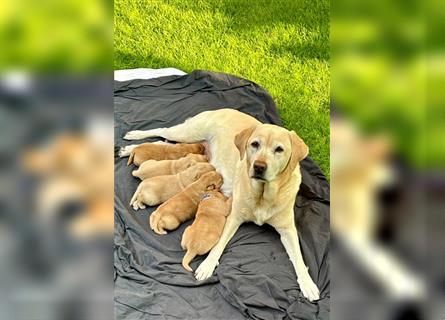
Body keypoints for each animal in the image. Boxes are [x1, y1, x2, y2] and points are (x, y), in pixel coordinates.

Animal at [121, 109, 320, 302]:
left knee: (165, 143)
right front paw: (207, 266)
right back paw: (131, 139)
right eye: (254, 144)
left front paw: (308, 284)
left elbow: (299, 258)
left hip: (187, 143)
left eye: (279, 149)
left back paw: (129, 149)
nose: (259, 166)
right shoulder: (233, 218)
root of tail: (227, 109)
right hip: (188, 132)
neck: (263, 194)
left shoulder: (288, 229)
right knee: (163, 132)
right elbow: (219, 244)